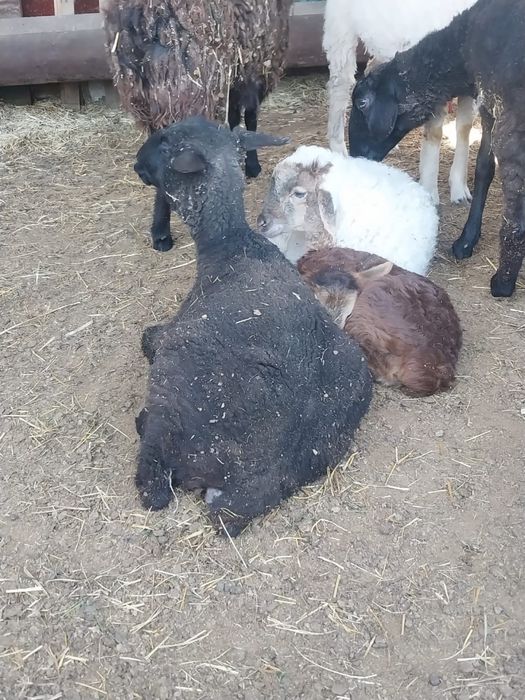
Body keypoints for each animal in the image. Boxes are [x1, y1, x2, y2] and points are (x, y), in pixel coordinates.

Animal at [101, 0, 293, 252]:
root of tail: (142, 16)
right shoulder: (255, 64)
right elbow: (248, 117)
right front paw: (251, 165)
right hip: (185, 84)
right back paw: (162, 233)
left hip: (143, 92)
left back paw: (159, 231)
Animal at [133, 116, 373, 536]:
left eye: (165, 144)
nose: (136, 163)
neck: (230, 243)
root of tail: (256, 485)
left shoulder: (169, 332)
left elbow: (148, 337)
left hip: (170, 393)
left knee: (154, 486)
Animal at [323, 0, 477, 204]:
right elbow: (435, 133)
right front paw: (430, 190)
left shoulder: (469, 85)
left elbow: (465, 128)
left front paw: (459, 189)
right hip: (340, 30)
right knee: (339, 85)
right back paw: (338, 147)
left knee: (372, 68)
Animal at [347, 0, 525, 297]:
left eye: (362, 103)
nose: (354, 155)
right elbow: (484, 168)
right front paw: (467, 240)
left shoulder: (499, 109)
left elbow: (495, 181)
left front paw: (476, 250)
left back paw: (503, 281)